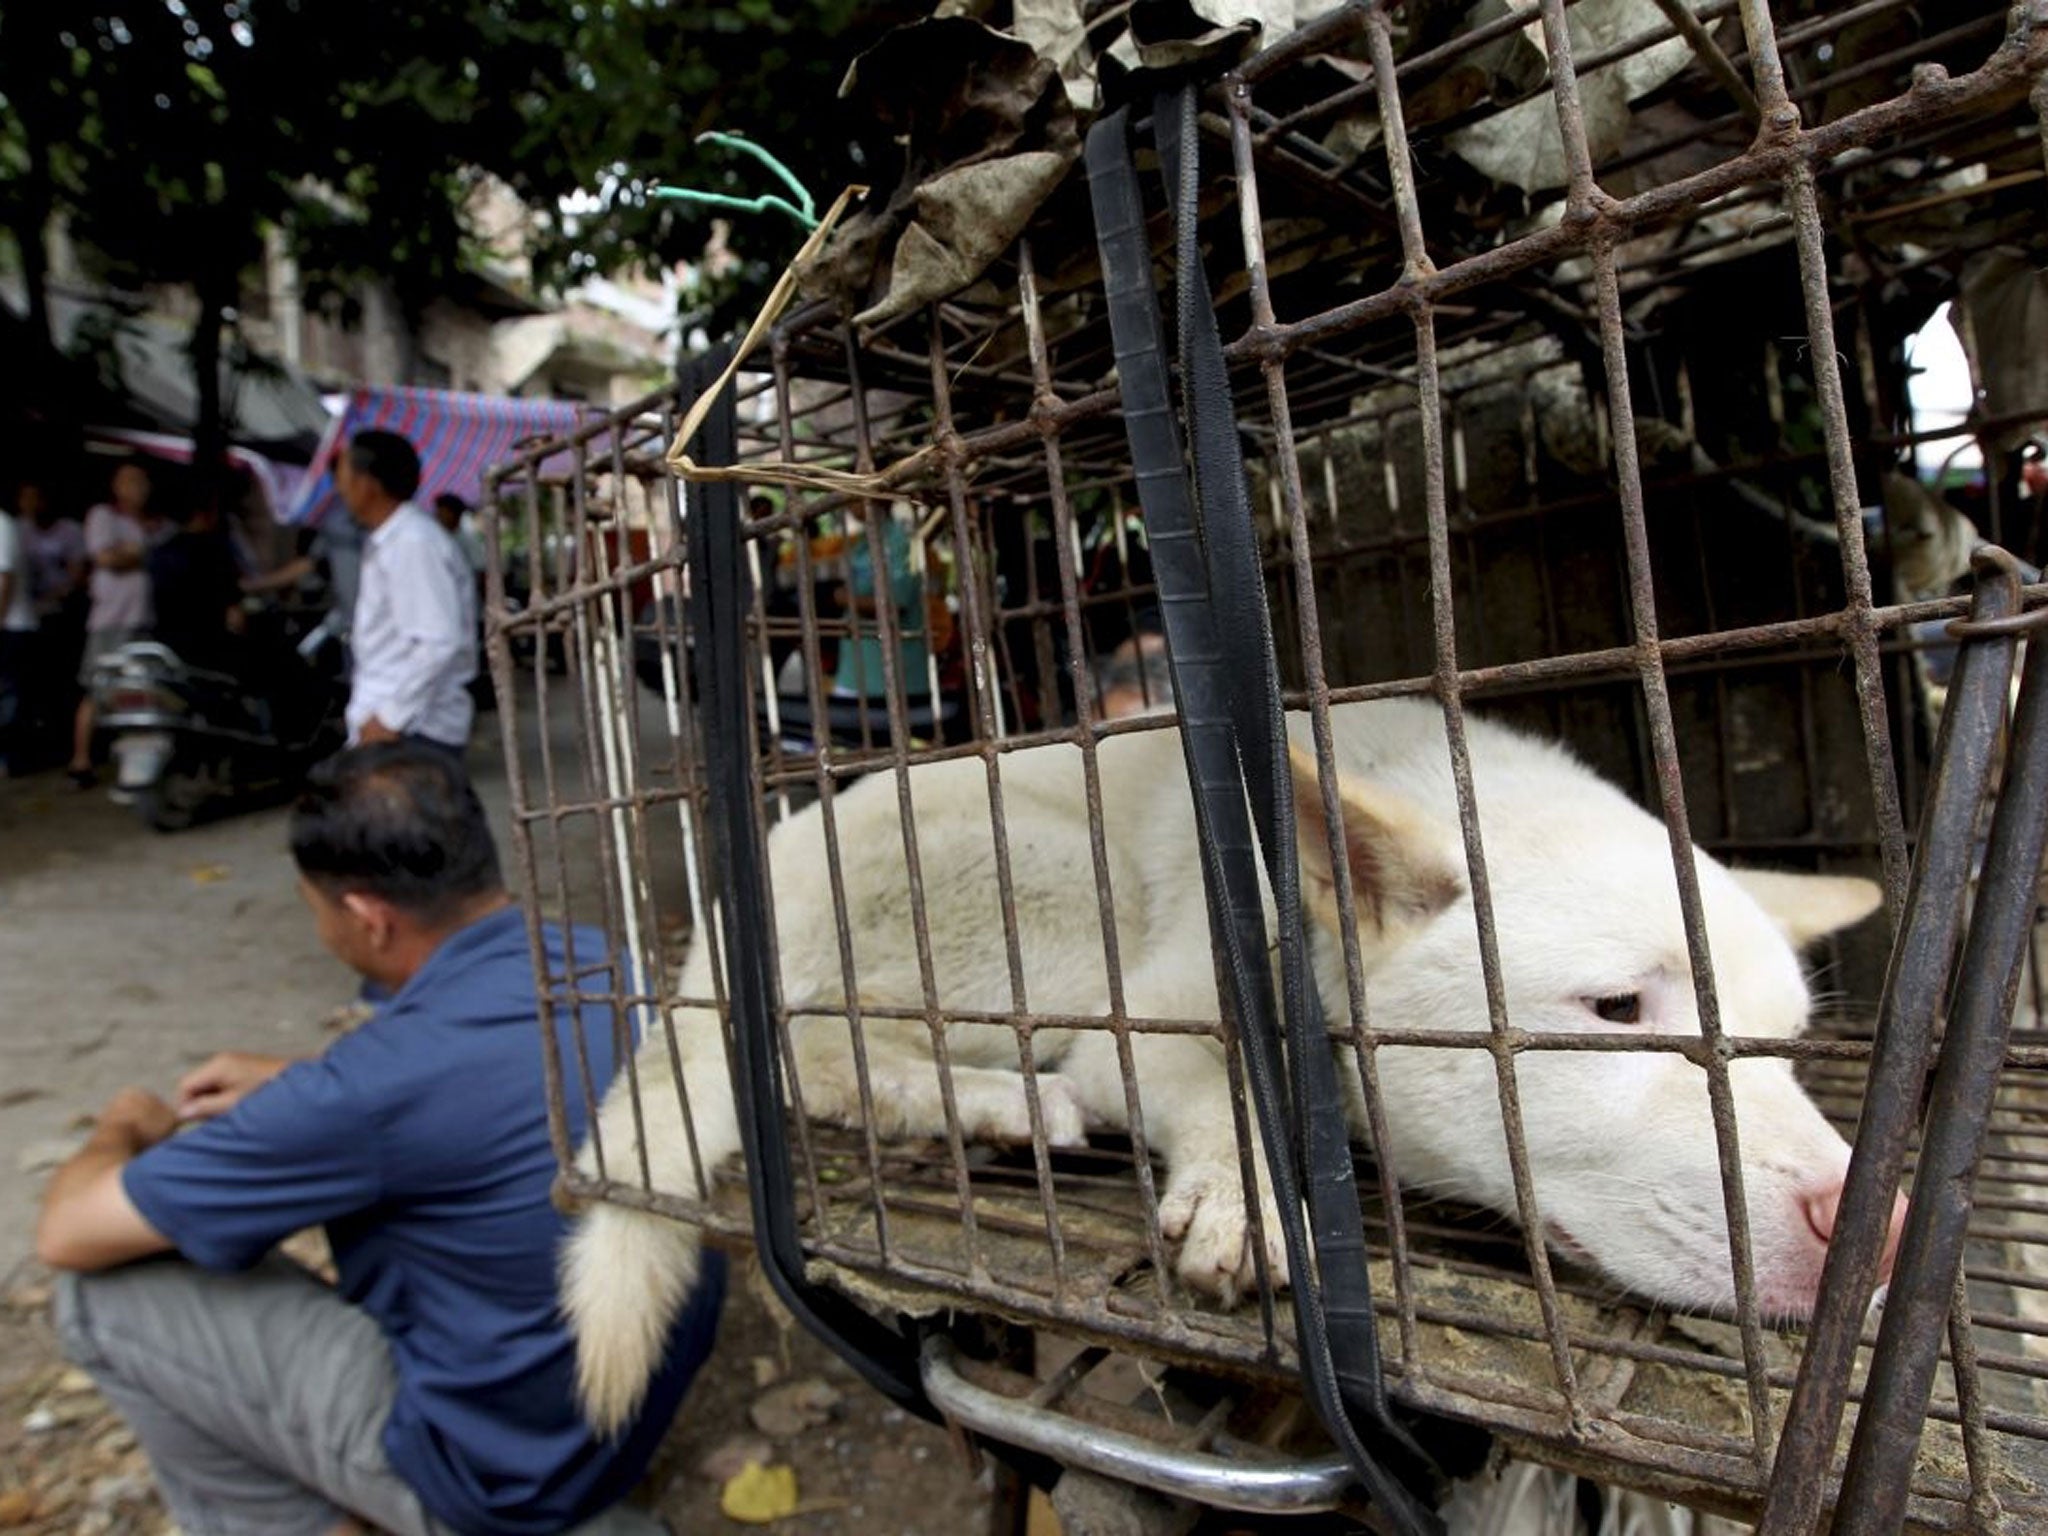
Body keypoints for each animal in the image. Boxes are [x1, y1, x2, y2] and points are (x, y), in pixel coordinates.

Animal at [557, 704, 1900, 1441]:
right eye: (1615, 1011)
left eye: (1778, 1048)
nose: (1867, 1228)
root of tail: (731, 907)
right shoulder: (1142, 1018)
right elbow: (1220, 1089)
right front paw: (1248, 1192)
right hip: (1043, 891)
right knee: (807, 1049)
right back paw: (993, 1102)